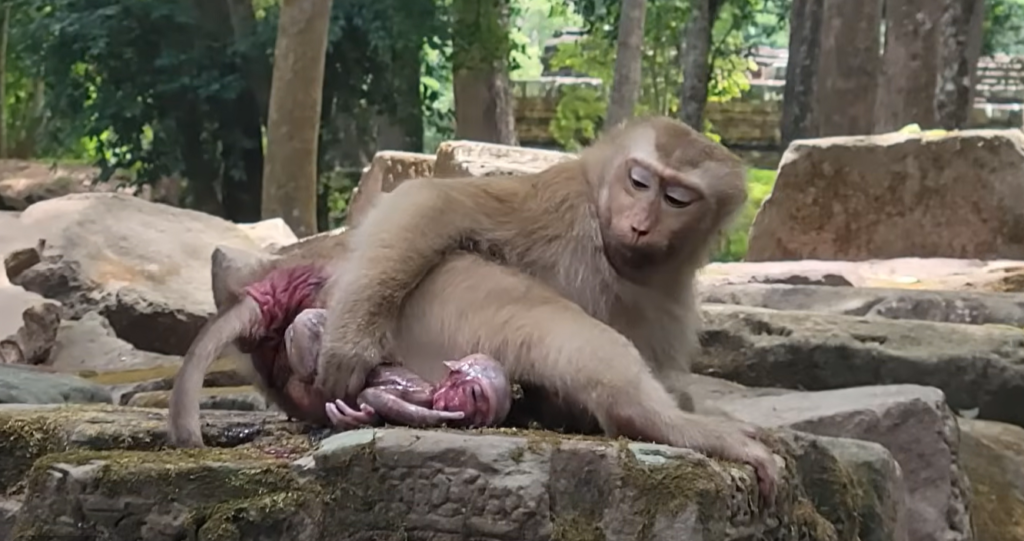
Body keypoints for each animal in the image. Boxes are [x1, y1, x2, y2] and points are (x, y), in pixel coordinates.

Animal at [313, 115, 781, 501]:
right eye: (639, 181)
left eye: (678, 199)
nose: (641, 224)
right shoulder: (559, 203)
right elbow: (435, 200)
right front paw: (349, 344)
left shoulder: (672, 291)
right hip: (435, 312)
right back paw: (659, 422)